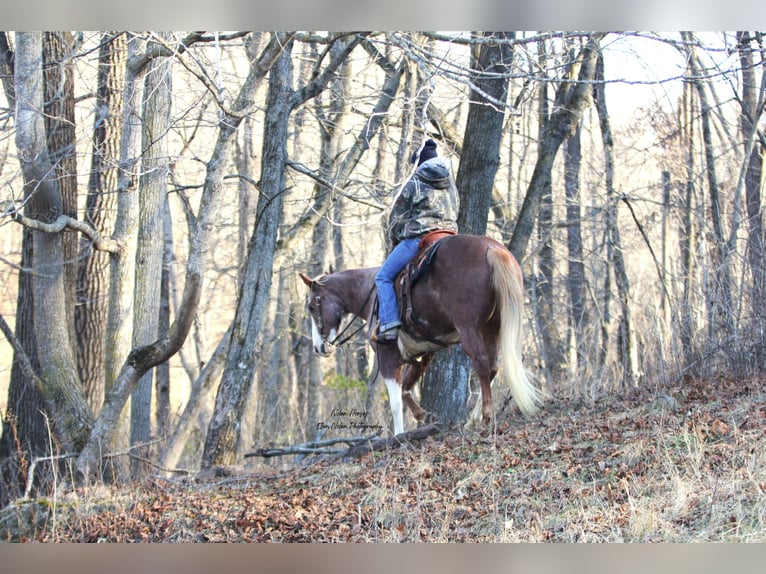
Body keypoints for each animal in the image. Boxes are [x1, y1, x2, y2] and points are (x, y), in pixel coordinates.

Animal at [296, 234, 544, 436]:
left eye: (311, 306)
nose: (319, 347)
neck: (372, 294)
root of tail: (492, 248)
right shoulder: (423, 354)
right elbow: (406, 389)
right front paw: (422, 416)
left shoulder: (387, 356)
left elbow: (395, 402)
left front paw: (398, 437)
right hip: (491, 328)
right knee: (492, 368)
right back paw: (472, 420)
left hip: (470, 329)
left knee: (482, 364)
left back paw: (486, 416)